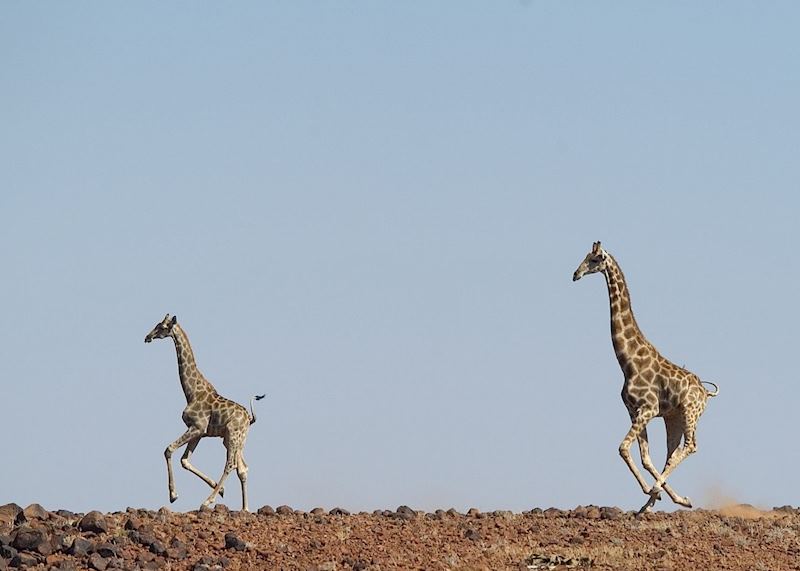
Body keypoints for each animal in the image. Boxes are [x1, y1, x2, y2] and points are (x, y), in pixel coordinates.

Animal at [145, 314, 265, 511]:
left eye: (162, 327)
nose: (147, 337)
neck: (191, 391)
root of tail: (249, 418)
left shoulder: (197, 427)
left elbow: (169, 450)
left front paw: (173, 495)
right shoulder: (200, 432)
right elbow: (185, 460)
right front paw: (221, 489)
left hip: (233, 435)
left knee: (230, 464)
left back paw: (207, 502)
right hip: (233, 439)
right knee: (243, 468)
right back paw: (245, 508)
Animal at [572, 242, 718, 513]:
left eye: (595, 259)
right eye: (585, 257)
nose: (575, 274)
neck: (627, 362)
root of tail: (706, 393)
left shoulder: (648, 409)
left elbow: (623, 448)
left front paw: (652, 491)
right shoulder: (635, 411)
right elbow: (644, 457)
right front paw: (654, 496)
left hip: (690, 412)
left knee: (690, 446)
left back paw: (662, 494)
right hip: (674, 418)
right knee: (672, 454)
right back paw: (659, 502)